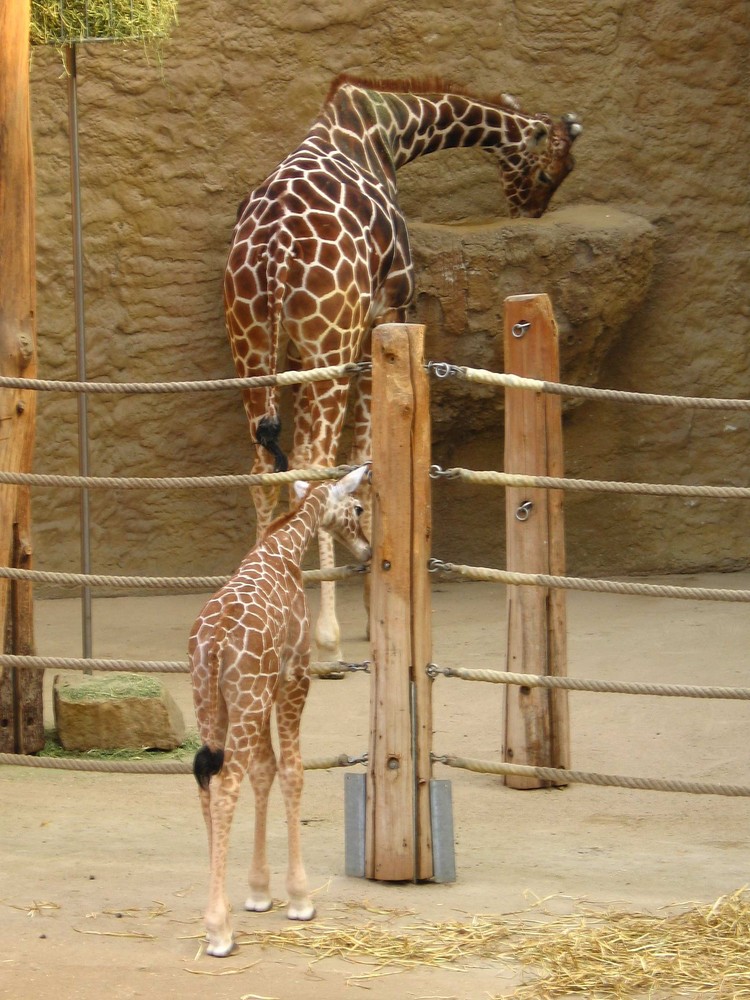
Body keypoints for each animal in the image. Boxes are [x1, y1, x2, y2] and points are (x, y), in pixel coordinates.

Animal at [189, 464, 372, 956]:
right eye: (358, 507)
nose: (367, 547)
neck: (283, 548)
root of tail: (214, 645)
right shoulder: (295, 675)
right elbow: (291, 770)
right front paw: (300, 899)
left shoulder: (267, 690)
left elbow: (265, 770)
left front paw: (258, 892)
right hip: (247, 699)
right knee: (226, 784)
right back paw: (218, 932)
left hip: (211, 702)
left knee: (207, 783)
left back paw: (220, 913)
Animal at [223, 74, 580, 660]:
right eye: (551, 169)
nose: (528, 208)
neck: (388, 130)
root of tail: (273, 249)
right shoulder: (388, 312)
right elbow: (365, 457)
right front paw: (371, 607)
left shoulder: (300, 351)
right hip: (331, 336)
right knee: (311, 465)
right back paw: (327, 639)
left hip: (251, 341)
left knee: (261, 467)